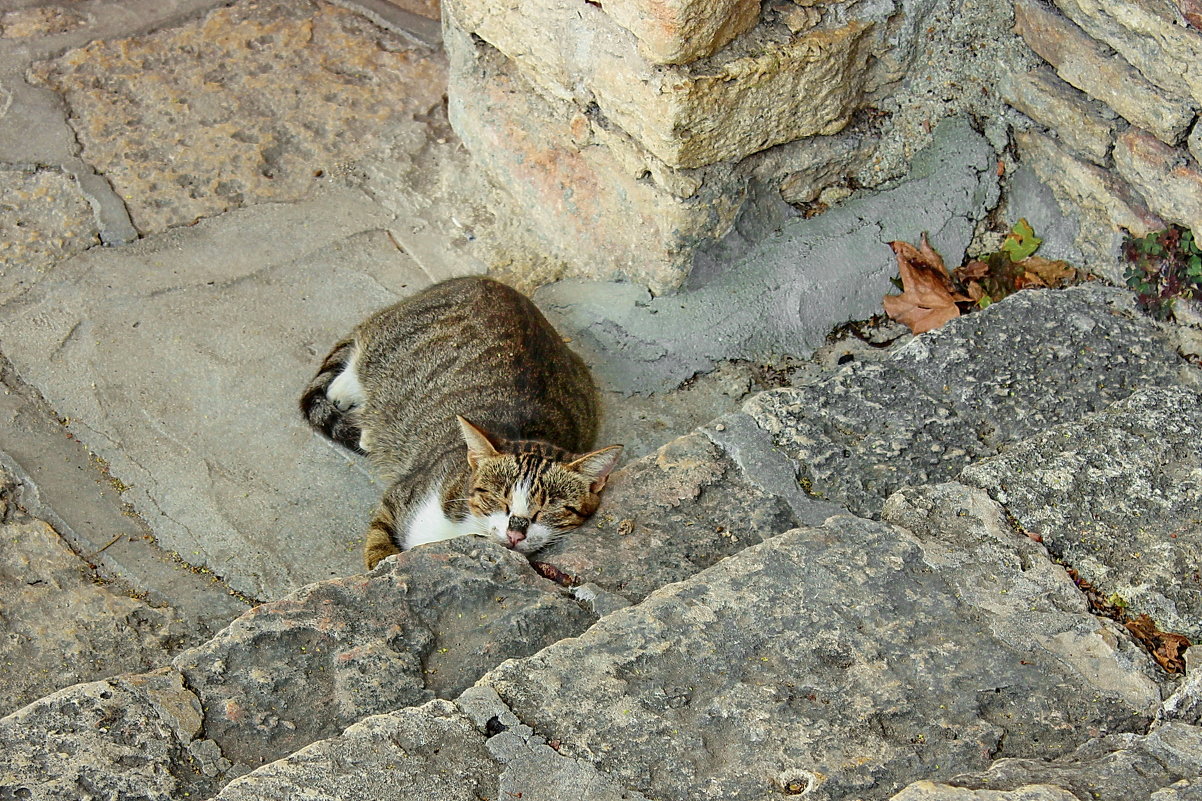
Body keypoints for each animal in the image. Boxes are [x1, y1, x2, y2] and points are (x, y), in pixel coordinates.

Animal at [300, 276, 625, 567]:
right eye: (499, 499)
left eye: (548, 510)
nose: (516, 532)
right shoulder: (402, 496)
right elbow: (380, 543)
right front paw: (383, 566)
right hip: (385, 352)